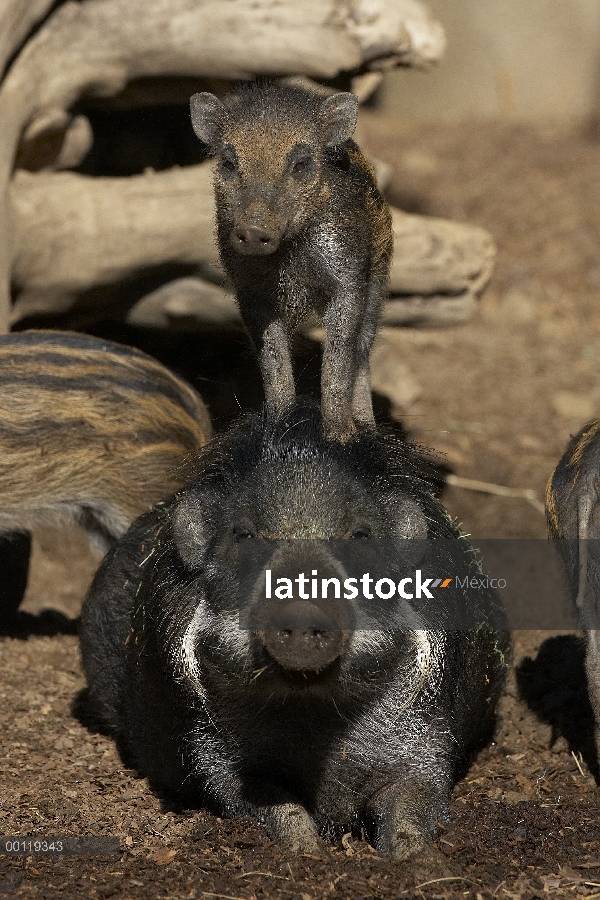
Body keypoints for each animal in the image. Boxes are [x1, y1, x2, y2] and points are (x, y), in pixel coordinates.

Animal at [81, 404, 510, 860]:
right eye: (243, 534)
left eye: (361, 535)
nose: (303, 606)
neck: (313, 713)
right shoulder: (212, 755)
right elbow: (271, 807)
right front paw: (309, 855)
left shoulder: (429, 740)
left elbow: (413, 802)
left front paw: (410, 859)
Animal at [190, 82, 392, 442]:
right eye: (228, 162)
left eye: (301, 163)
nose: (253, 229)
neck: (290, 259)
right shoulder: (250, 292)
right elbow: (273, 360)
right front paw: (279, 425)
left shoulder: (349, 280)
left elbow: (340, 360)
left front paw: (341, 437)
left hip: (378, 280)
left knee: (364, 352)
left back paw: (368, 429)